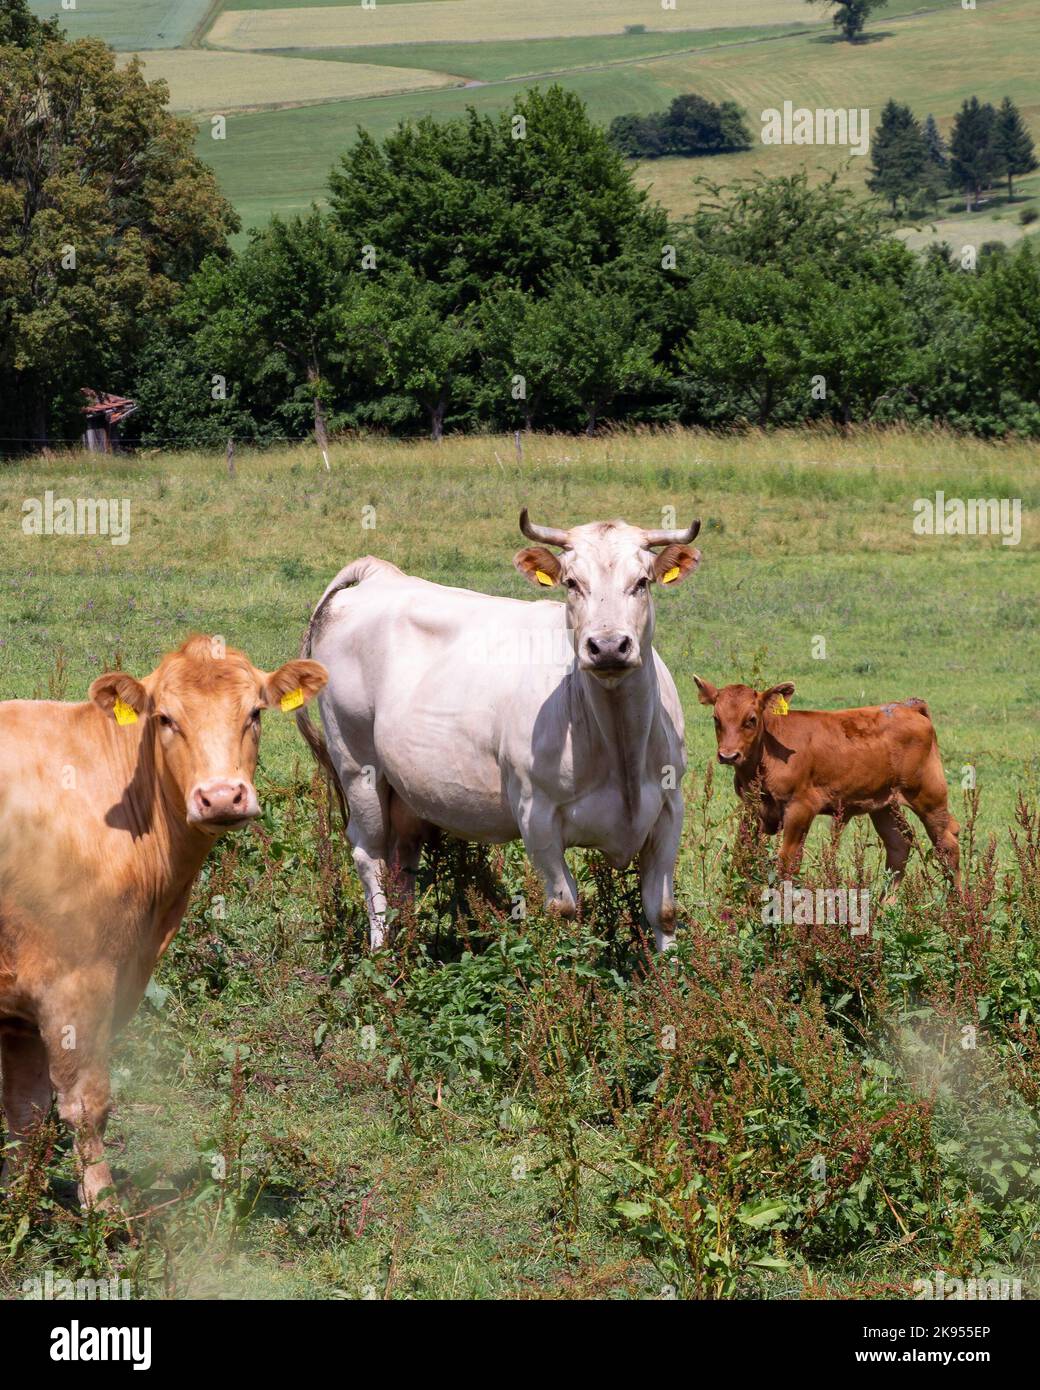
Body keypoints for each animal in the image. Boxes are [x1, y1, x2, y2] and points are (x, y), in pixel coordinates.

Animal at [0, 636, 327, 1210]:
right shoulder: (75, 982)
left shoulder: (20, 1008)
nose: (221, 796)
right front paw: (104, 1214)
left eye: (255, 712)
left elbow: (23, 1115)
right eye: (166, 718)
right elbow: (85, 1103)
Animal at [297, 510, 701, 952]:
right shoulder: (536, 814)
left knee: (403, 859)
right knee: (370, 856)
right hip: (356, 765)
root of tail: (379, 573)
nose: (608, 646)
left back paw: (408, 950)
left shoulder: (670, 808)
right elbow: (563, 910)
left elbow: (663, 910)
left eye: (642, 581)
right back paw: (381, 952)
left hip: (406, 790)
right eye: (572, 583)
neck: (619, 743)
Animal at [693, 677, 960, 887]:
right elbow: (744, 858)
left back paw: (957, 907)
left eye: (751, 719)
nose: (728, 755)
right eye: (716, 718)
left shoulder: (800, 809)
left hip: (929, 796)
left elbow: (787, 863)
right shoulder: (751, 808)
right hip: (884, 803)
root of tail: (908, 707)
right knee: (899, 846)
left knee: (947, 846)